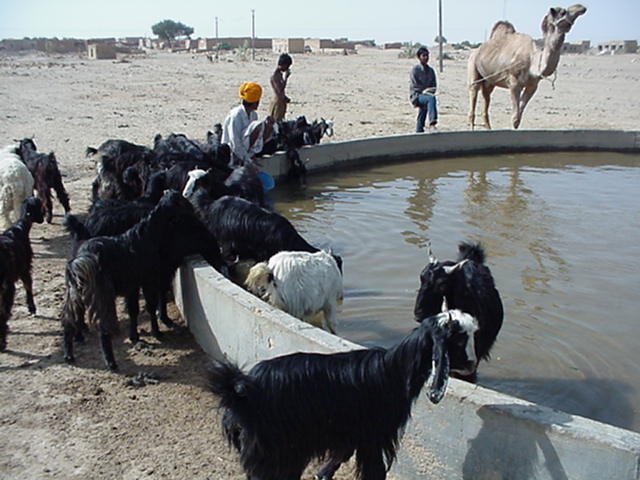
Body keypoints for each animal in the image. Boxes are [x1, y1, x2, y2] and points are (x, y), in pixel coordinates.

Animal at [58, 189, 228, 370]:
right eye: (182, 206)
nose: (192, 210)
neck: (147, 234)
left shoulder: (135, 285)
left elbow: (135, 309)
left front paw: (135, 335)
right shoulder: (150, 279)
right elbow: (151, 304)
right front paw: (158, 330)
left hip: (75, 292)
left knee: (69, 317)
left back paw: (71, 349)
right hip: (101, 295)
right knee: (102, 326)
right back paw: (110, 361)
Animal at [211, 310, 480, 478]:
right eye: (459, 339)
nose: (471, 364)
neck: (394, 369)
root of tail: (242, 390)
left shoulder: (351, 434)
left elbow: (338, 458)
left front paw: (322, 474)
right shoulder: (374, 437)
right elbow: (374, 472)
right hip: (277, 451)